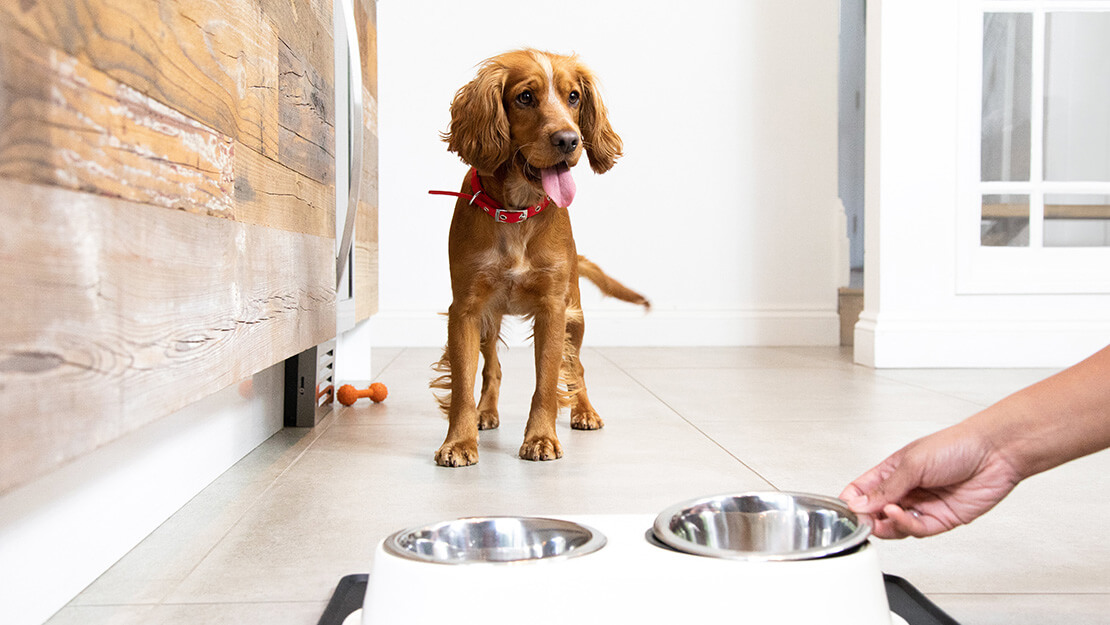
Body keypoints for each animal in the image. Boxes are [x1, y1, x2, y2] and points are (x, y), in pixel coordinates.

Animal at [426, 48, 648, 466]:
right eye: (525, 97)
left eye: (574, 96)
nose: (569, 140)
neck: (517, 212)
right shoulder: (465, 309)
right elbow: (463, 383)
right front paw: (459, 442)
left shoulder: (553, 309)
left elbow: (547, 380)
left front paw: (542, 438)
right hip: (490, 321)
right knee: (493, 369)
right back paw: (486, 413)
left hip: (575, 317)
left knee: (576, 368)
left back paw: (584, 411)